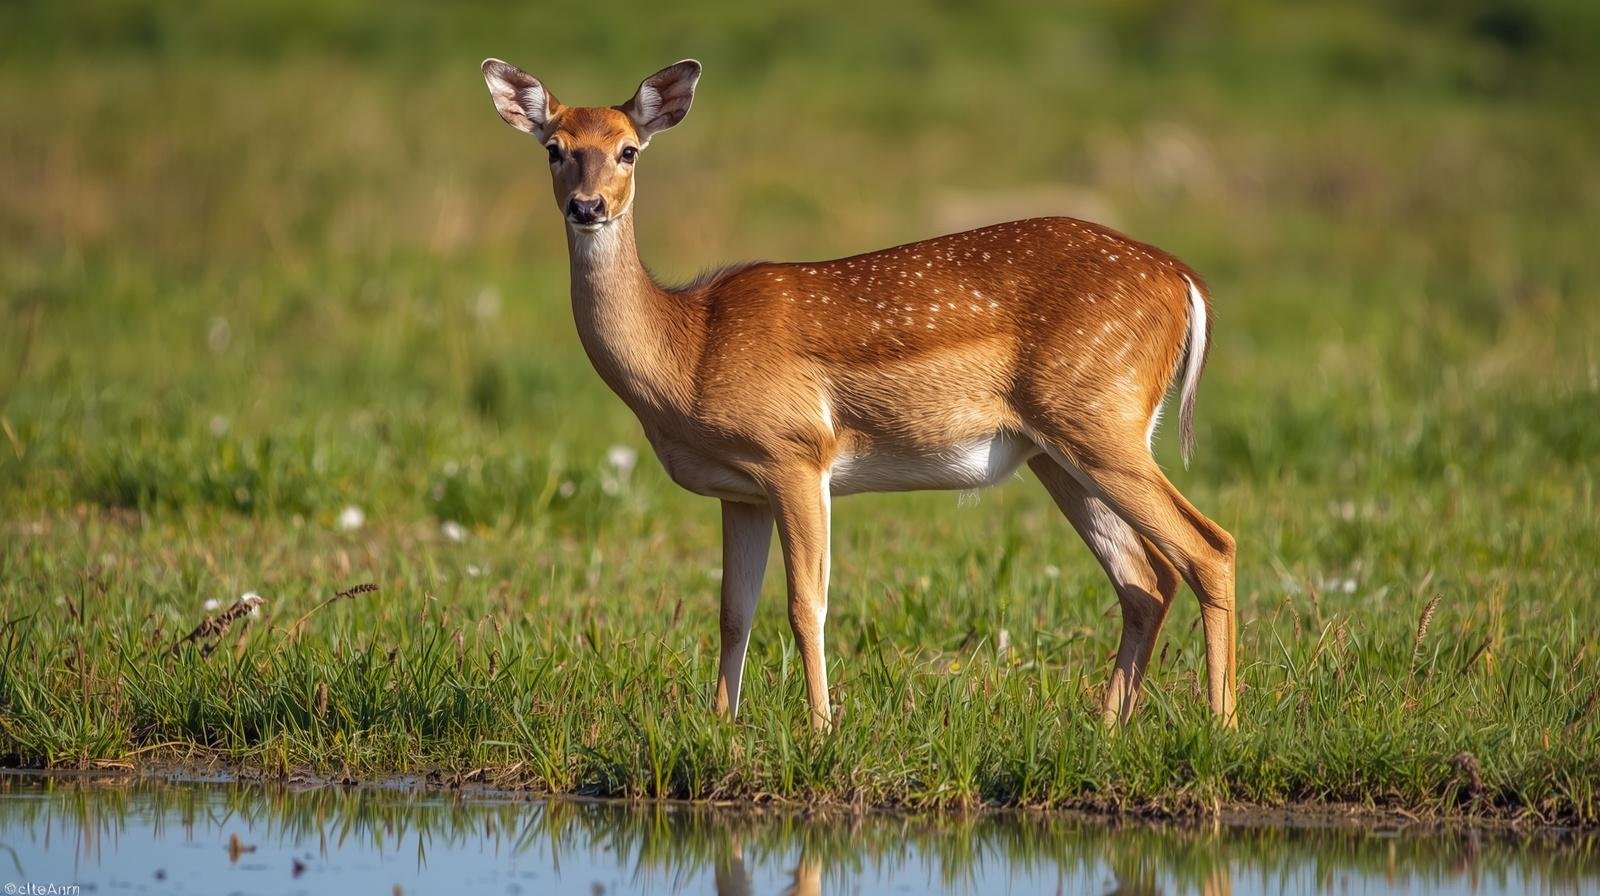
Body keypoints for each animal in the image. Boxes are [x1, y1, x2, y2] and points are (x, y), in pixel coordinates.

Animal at [480, 57, 1237, 730]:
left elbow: (804, 604)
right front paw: (722, 725)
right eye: (554, 149)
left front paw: (820, 730)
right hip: (1058, 452)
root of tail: (1186, 282)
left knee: (1209, 547)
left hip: (1100, 421)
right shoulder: (738, 490)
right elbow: (732, 610)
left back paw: (1220, 726)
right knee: (1145, 579)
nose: (587, 206)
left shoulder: (793, 451)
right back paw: (1108, 728)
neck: (686, 350)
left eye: (629, 150)